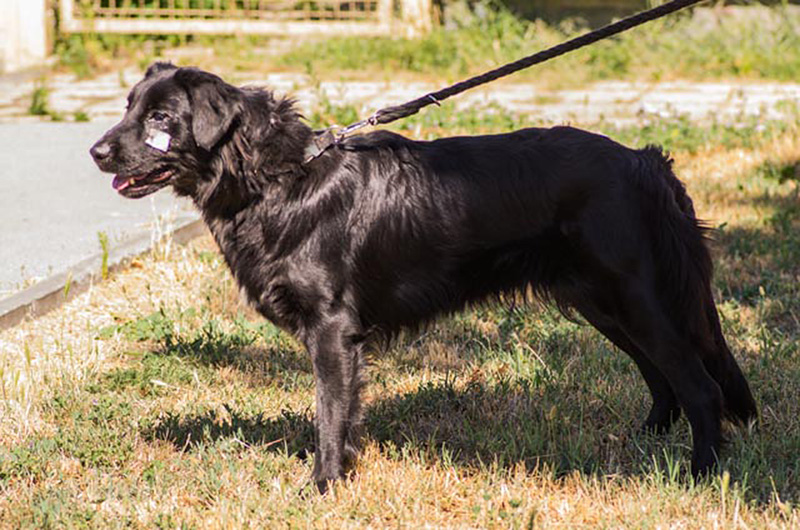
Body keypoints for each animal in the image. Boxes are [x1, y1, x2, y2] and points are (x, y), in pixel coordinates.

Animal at [91, 63, 756, 491]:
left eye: (160, 117)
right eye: (127, 107)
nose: (96, 152)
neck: (280, 179)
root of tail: (646, 162)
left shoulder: (333, 331)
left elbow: (329, 413)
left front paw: (324, 485)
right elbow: (341, 413)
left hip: (635, 295)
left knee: (699, 385)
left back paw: (698, 476)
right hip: (604, 301)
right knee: (662, 375)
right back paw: (646, 443)